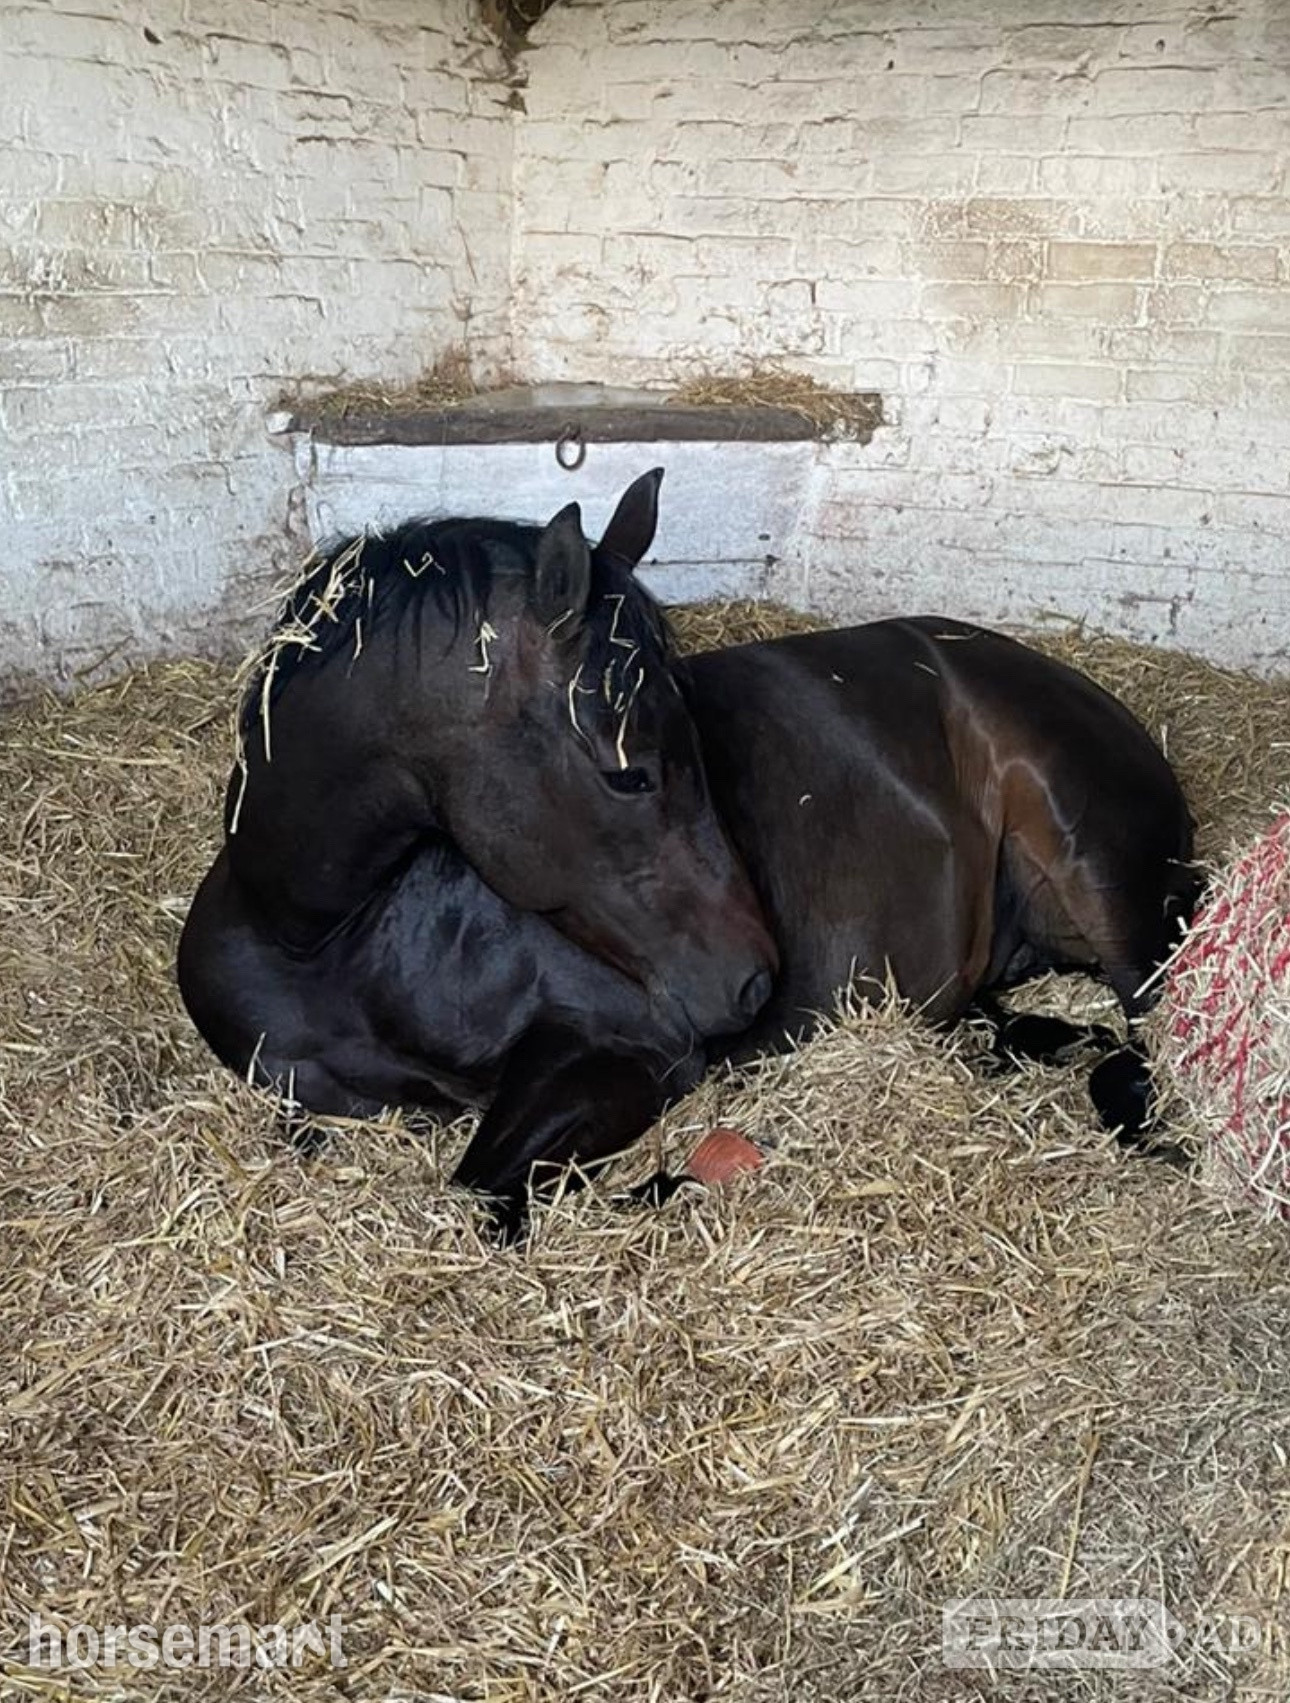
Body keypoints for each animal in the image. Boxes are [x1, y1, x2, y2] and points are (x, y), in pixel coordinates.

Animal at [178, 470, 1199, 1230]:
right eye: (629, 773)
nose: (752, 981)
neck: (323, 940)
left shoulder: (628, 1055)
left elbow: (486, 1188)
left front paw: (678, 1182)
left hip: (1110, 888)